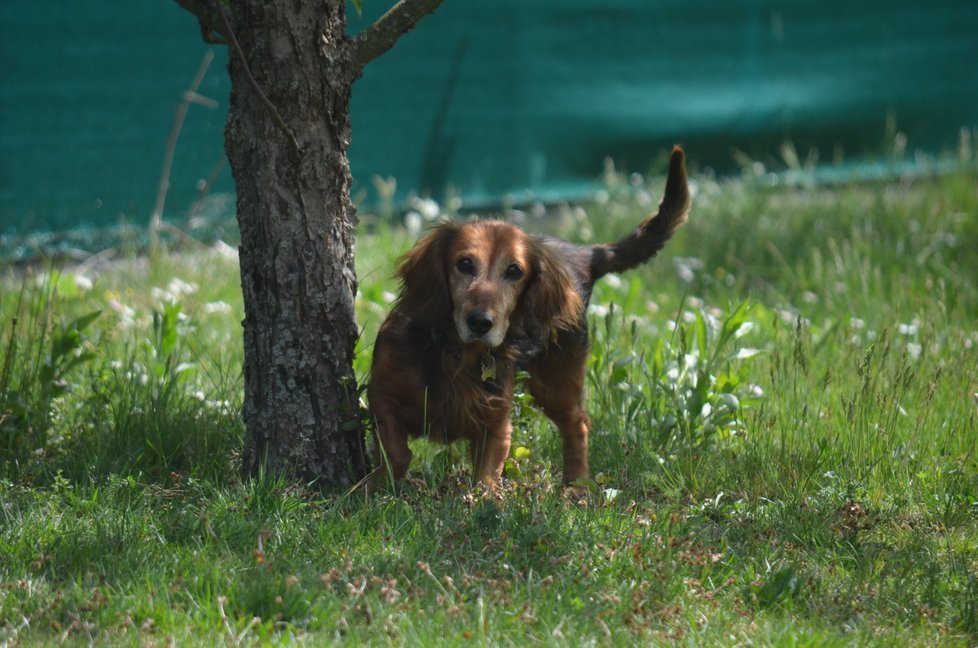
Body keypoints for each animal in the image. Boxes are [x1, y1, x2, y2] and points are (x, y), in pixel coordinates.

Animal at [368, 147, 692, 488]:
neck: (454, 355)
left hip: (557, 380)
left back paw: (576, 486)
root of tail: (582, 254)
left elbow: (485, 479)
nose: (480, 323)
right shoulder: (381, 397)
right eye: (464, 263)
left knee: (577, 424)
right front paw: (377, 487)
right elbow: (397, 452)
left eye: (514, 271)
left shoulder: (495, 424)